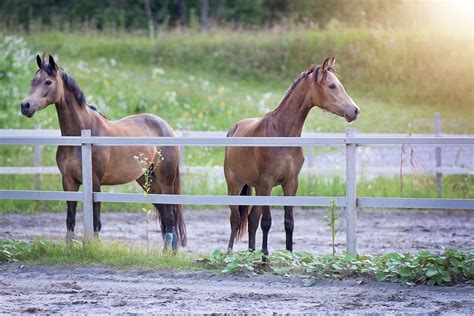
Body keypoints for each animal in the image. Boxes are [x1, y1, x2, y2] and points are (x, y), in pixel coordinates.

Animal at [20, 55, 187, 252]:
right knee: (167, 216)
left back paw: (167, 253)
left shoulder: (95, 183)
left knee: (169, 216)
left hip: (165, 180)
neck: (82, 134)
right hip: (148, 182)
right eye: (33, 80)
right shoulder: (68, 182)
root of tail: (167, 127)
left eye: (48, 82)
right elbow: (70, 220)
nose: (25, 106)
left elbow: (96, 222)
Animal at [225, 56, 360, 254]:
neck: (281, 133)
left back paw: (250, 253)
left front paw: (288, 254)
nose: (355, 110)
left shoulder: (291, 183)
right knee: (235, 219)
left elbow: (289, 222)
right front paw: (265, 256)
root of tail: (234, 128)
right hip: (235, 184)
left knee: (251, 220)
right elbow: (267, 222)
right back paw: (229, 254)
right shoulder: (268, 181)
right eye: (331, 86)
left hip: (257, 188)